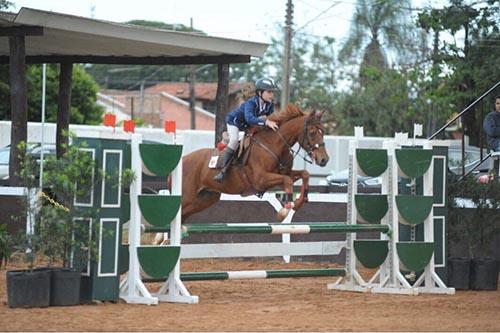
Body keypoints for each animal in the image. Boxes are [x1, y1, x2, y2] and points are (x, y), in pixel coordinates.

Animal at [179, 102, 328, 222]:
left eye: (323, 131)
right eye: (312, 132)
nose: (324, 160)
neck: (275, 144)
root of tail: (184, 159)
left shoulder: (284, 173)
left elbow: (304, 174)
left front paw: (298, 203)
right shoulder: (261, 179)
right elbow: (287, 181)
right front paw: (283, 212)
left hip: (205, 199)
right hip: (189, 196)